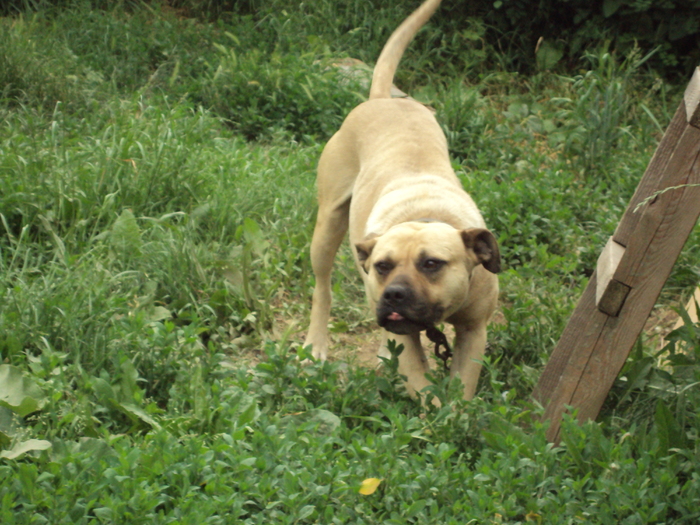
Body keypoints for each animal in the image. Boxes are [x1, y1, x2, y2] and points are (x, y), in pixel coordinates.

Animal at [304, 0, 500, 400]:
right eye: (383, 265)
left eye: (432, 264)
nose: (393, 294)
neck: (425, 216)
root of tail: (383, 99)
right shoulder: (408, 338)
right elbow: (428, 392)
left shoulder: (474, 332)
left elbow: (460, 391)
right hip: (328, 226)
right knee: (322, 287)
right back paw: (316, 343)